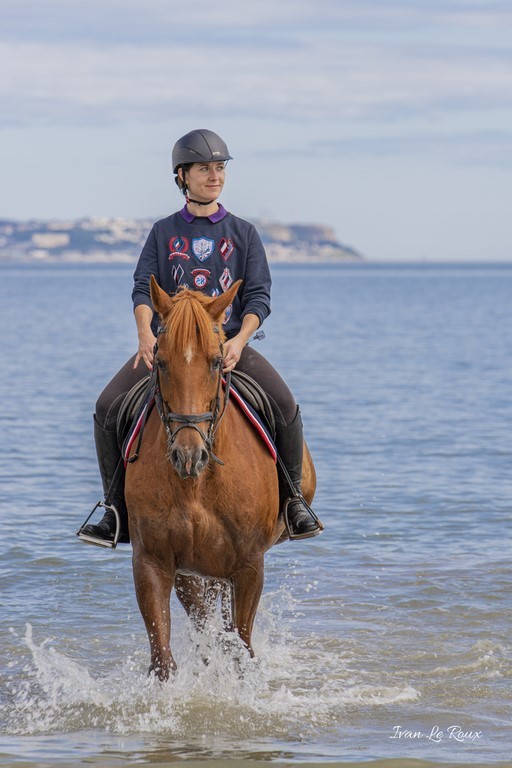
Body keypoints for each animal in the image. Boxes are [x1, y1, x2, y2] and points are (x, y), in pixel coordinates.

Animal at [124, 275, 316, 680]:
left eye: (216, 362)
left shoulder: (248, 567)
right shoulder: (153, 563)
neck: (196, 485)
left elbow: (241, 650)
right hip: (194, 571)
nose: (189, 455)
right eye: (160, 362)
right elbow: (164, 659)